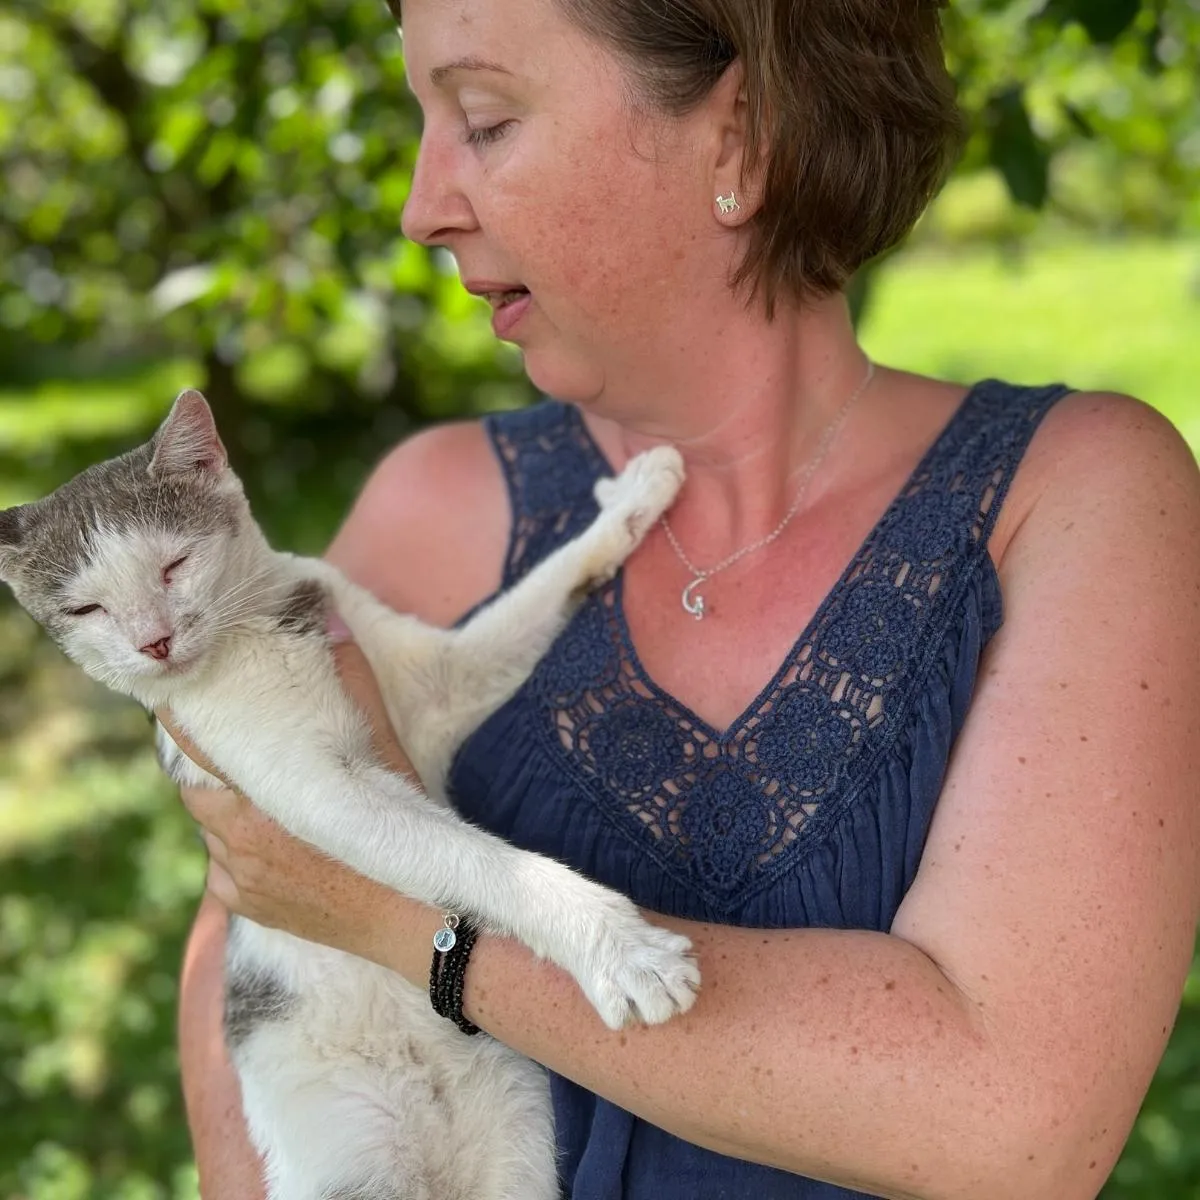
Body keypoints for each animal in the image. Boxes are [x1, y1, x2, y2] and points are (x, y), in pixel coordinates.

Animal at [0, 388, 700, 1195]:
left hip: (516, 1153)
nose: (154, 642)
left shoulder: (436, 683)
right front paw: (622, 948)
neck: (264, 632)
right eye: (86, 611)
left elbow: (539, 593)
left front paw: (636, 498)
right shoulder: (307, 787)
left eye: (174, 566)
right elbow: (479, 859)